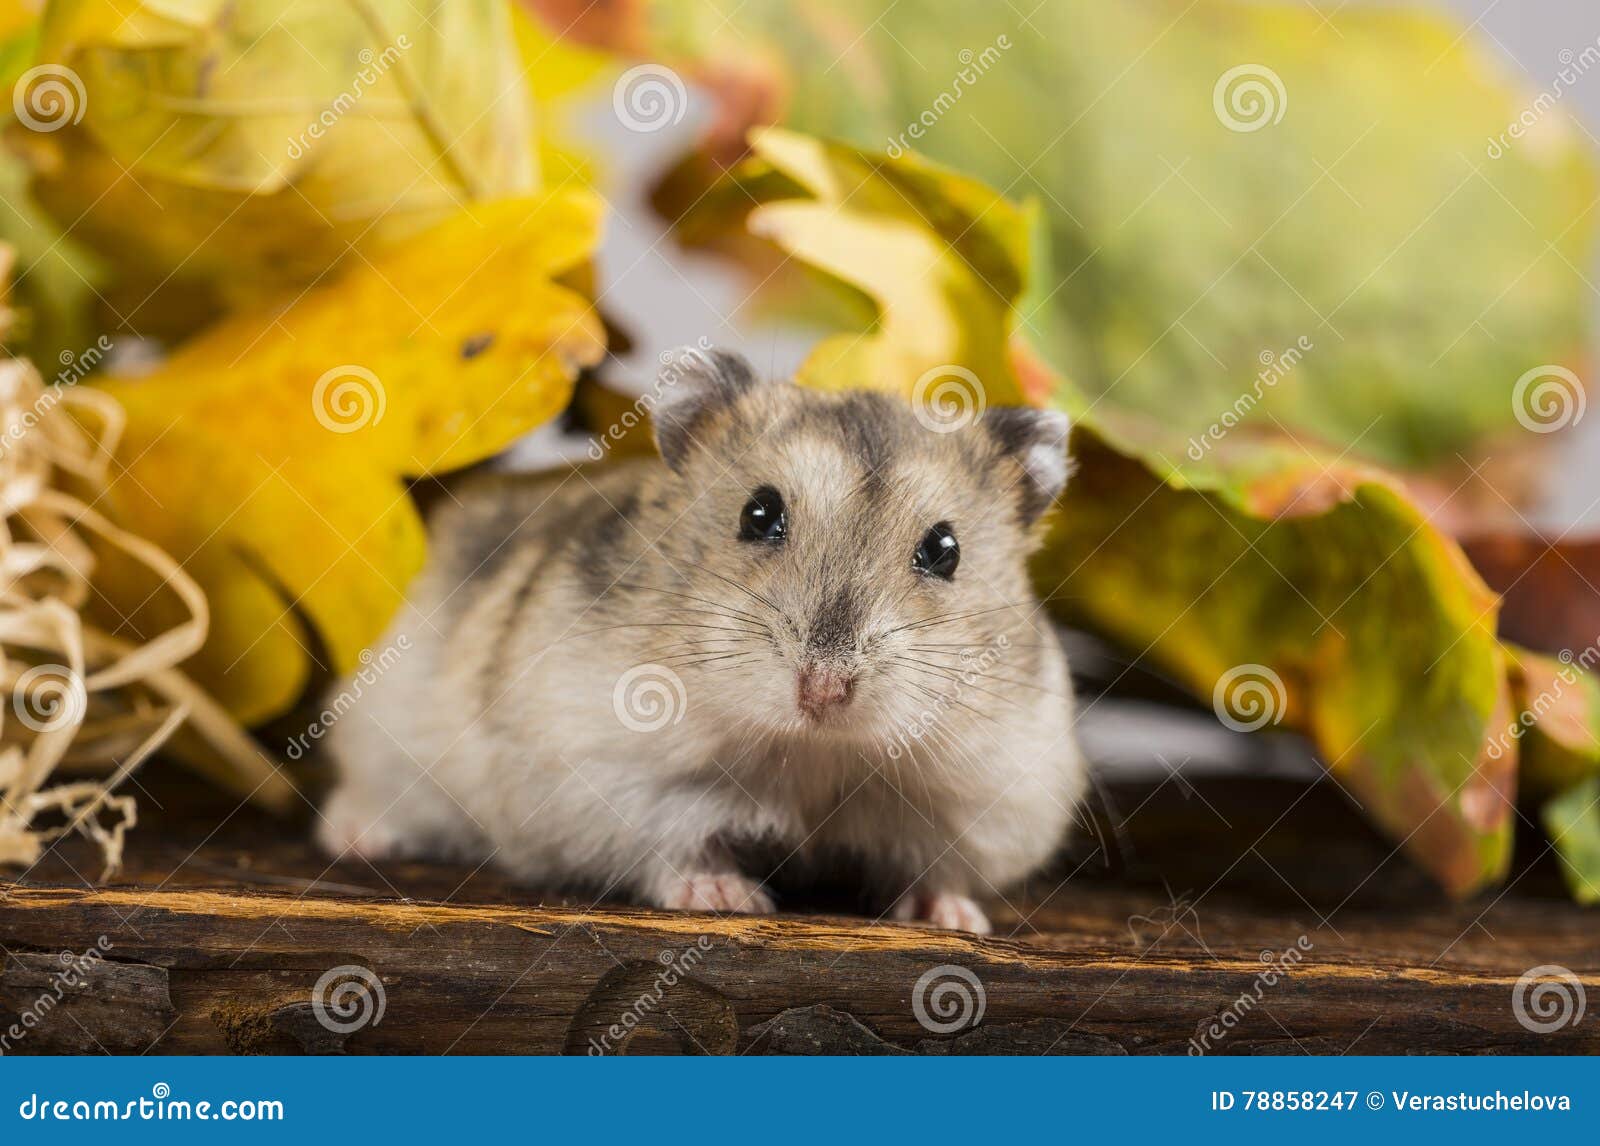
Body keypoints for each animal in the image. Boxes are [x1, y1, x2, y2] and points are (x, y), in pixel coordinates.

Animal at [316, 348, 1085, 934]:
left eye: (946, 550)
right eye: (758, 513)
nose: (823, 691)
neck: (813, 751)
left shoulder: (992, 795)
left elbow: (939, 868)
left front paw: (954, 918)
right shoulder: (604, 772)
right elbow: (677, 846)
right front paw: (731, 897)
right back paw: (355, 836)